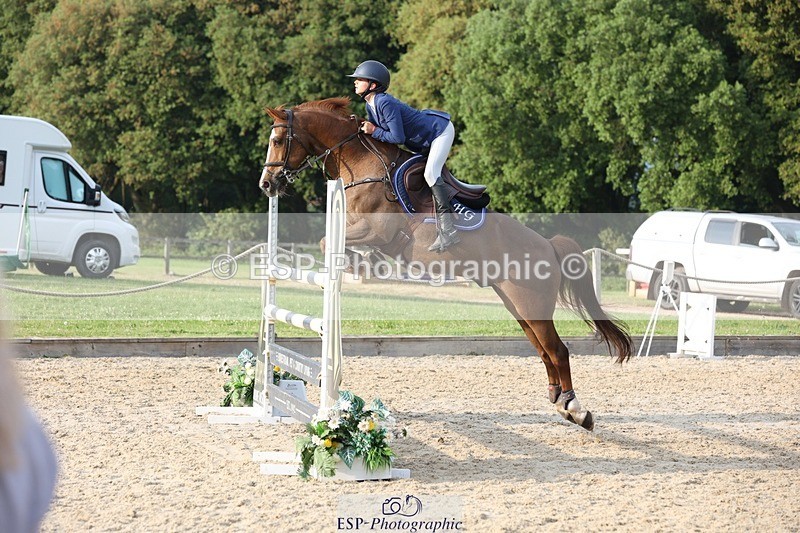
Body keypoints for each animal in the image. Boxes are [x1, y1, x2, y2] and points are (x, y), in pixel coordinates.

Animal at [259, 97, 632, 431]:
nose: (266, 185)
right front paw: (358, 264)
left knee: (557, 350)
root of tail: (548, 245)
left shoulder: (375, 230)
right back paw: (558, 400)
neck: (362, 162)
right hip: (518, 306)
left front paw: (354, 265)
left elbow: (329, 242)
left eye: (277, 141)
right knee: (543, 350)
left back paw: (575, 409)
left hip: (531, 304)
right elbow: (332, 243)